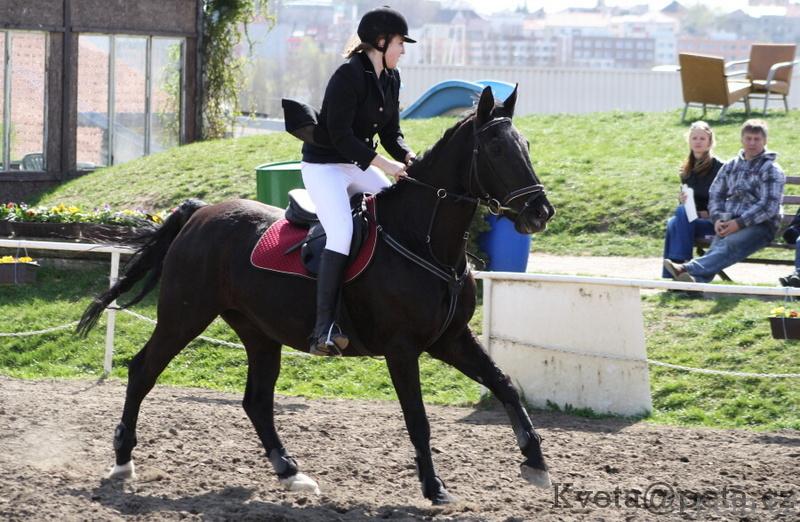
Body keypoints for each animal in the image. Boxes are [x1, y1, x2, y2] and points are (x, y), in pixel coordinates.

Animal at [78, 86, 555, 505]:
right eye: (496, 150)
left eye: (527, 145)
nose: (540, 212)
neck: (423, 240)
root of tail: (201, 213)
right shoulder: (403, 349)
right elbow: (418, 419)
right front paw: (434, 488)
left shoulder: (450, 339)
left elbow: (504, 384)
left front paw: (536, 462)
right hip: (184, 316)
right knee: (143, 371)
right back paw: (122, 461)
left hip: (258, 332)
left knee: (256, 400)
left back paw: (291, 473)